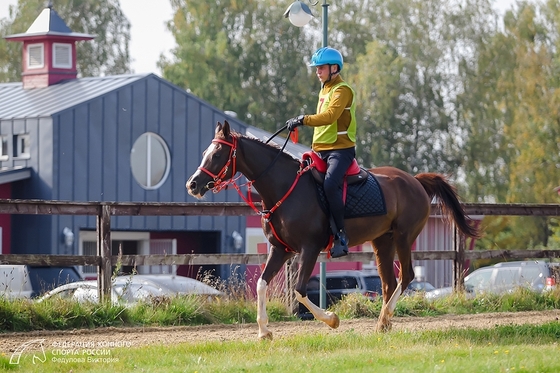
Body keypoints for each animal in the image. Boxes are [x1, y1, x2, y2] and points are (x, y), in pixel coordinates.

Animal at [187, 120, 482, 338]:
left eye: (217, 154)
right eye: (204, 153)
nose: (193, 184)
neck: (285, 189)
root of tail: (415, 181)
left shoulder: (309, 249)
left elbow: (300, 289)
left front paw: (331, 319)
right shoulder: (281, 249)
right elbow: (262, 284)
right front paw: (264, 332)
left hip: (403, 237)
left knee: (406, 276)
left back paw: (385, 318)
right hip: (382, 242)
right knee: (389, 283)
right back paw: (382, 323)